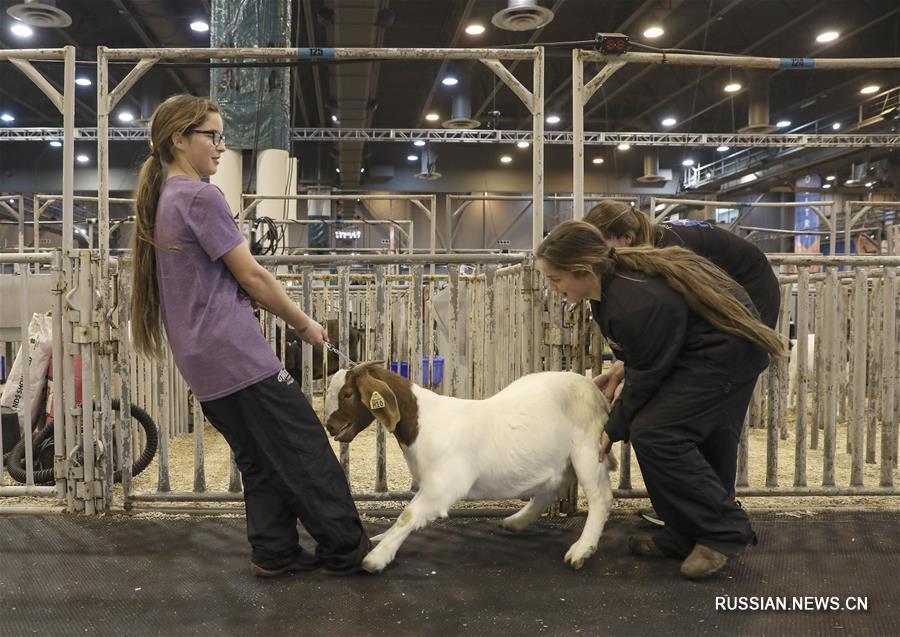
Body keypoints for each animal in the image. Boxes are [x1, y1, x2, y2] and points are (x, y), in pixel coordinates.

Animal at [322, 360, 612, 572]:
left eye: (347, 394)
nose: (330, 426)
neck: (422, 423)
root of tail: (595, 390)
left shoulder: (444, 485)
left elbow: (408, 514)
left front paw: (377, 558)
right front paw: (380, 539)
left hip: (589, 449)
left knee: (600, 497)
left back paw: (581, 549)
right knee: (553, 486)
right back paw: (517, 521)